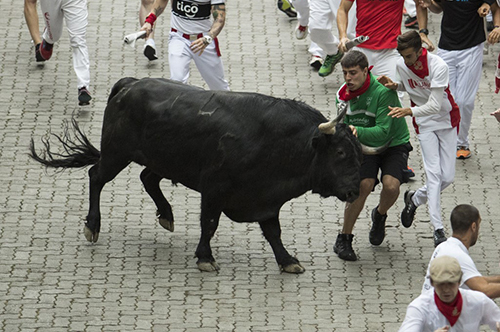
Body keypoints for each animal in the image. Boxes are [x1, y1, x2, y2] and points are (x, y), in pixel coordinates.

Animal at [32, 77, 368, 272]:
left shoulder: (266, 199)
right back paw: (93, 225)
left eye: (358, 153)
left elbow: (274, 232)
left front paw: (287, 261)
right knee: (96, 177)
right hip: (116, 153)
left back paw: (167, 215)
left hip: (160, 159)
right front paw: (205, 257)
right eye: (340, 153)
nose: (355, 190)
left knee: (147, 179)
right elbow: (209, 223)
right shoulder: (215, 189)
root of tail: (131, 83)